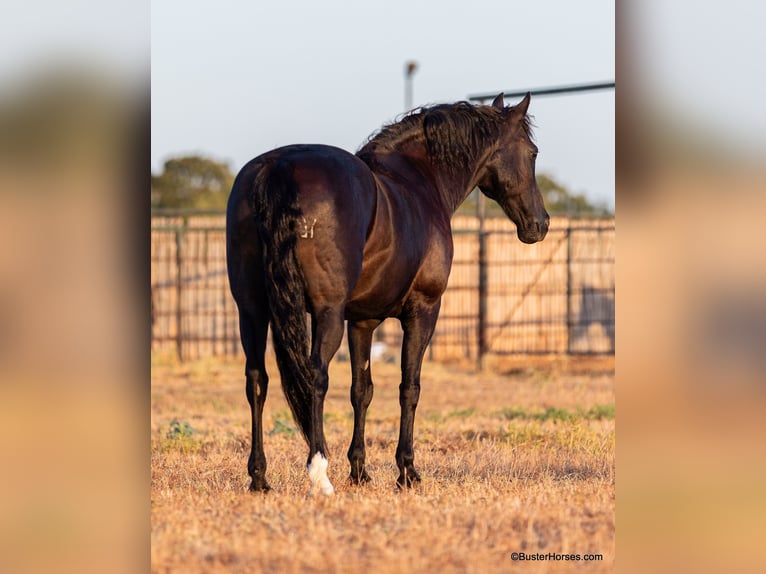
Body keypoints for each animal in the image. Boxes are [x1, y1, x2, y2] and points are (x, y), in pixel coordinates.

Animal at [225, 91, 548, 496]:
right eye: (532, 152)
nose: (540, 224)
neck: (418, 180)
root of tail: (280, 167)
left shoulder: (363, 321)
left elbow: (361, 390)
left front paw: (360, 472)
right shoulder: (423, 311)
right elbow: (409, 387)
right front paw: (407, 471)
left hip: (251, 311)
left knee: (257, 379)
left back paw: (259, 478)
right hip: (325, 313)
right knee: (316, 376)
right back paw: (319, 473)